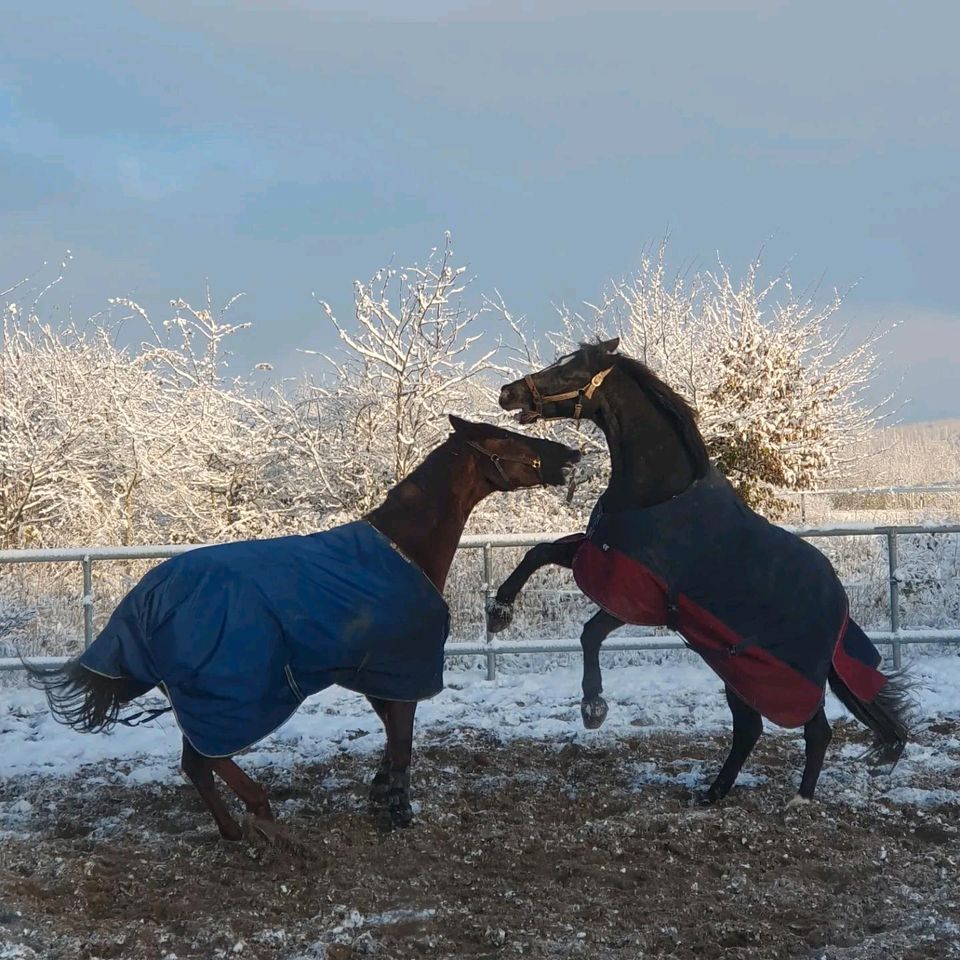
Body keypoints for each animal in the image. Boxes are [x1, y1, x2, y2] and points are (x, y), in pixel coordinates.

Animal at [31, 416, 576, 836]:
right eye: (505, 437)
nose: (569, 452)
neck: (404, 548)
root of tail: (145, 600)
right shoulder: (403, 673)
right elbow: (403, 743)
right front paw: (398, 811)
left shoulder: (375, 676)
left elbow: (391, 739)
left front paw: (380, 796)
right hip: (232, 698)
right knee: (206, 760)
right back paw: (259, 809)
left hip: (203, 699)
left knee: (197, 765)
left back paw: (235, 830)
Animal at [492, 342, 912, 808]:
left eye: (570, 371)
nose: (508, 393)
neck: (655, 493)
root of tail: (840, 607)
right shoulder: (600, 554)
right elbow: (537, 553)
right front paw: (499, 613)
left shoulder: (641, 597)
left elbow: (589, 634)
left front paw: (593, 708)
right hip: (741, 670)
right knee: (752, 729)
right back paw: (714, 792)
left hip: (777, 676)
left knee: (811, 729)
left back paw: (797, 799)